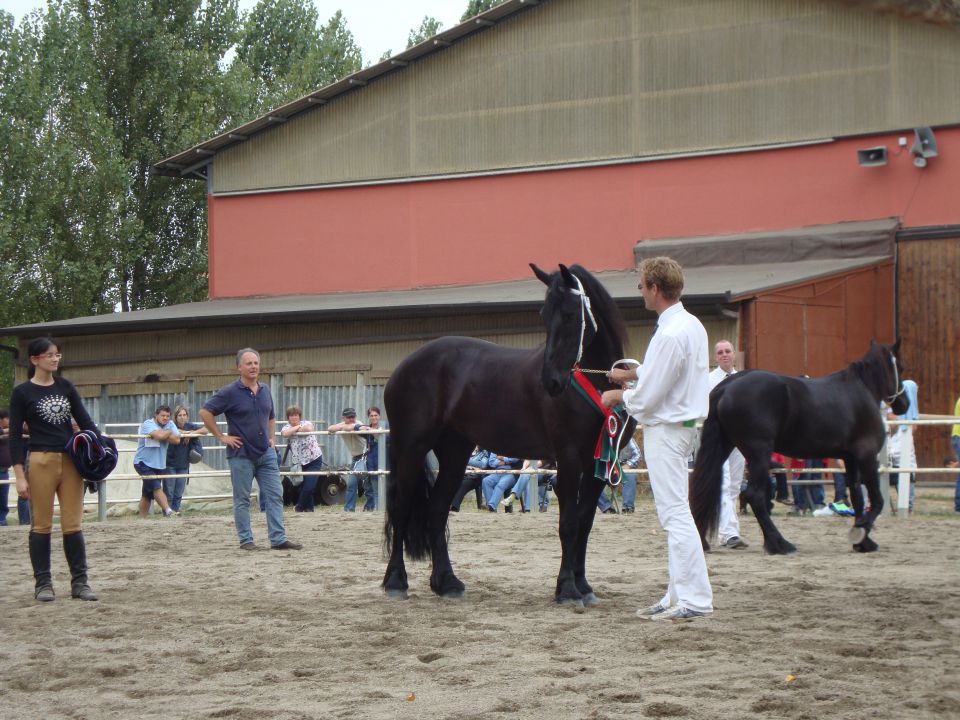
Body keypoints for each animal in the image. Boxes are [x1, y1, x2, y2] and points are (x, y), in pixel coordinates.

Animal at [378, 262, 632, 604]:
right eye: (543, 314)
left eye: (569, 314)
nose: (551, 382)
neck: (598, 384)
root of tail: (404, 366)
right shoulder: (568, 459)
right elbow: (568, 523)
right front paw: (567, 589)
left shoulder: (596, 466)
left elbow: (585, 523)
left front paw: (584, 586)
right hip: (411, 448)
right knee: (402, 509)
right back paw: (395, 582)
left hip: (455, 453)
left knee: (436, 511)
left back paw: (447, 583)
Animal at [688, 340, 908, 556]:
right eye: (900, 367)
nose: (904, 404)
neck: (861, 391)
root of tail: (727, 386)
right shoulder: (866, 456)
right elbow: (877, 501)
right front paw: (861, 531)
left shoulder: (850, 458)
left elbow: (857, 497)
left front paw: (864, 542)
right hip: (759, 454)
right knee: (754, 496)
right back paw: (779, 544)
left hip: (725, 447)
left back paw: (703, 542)